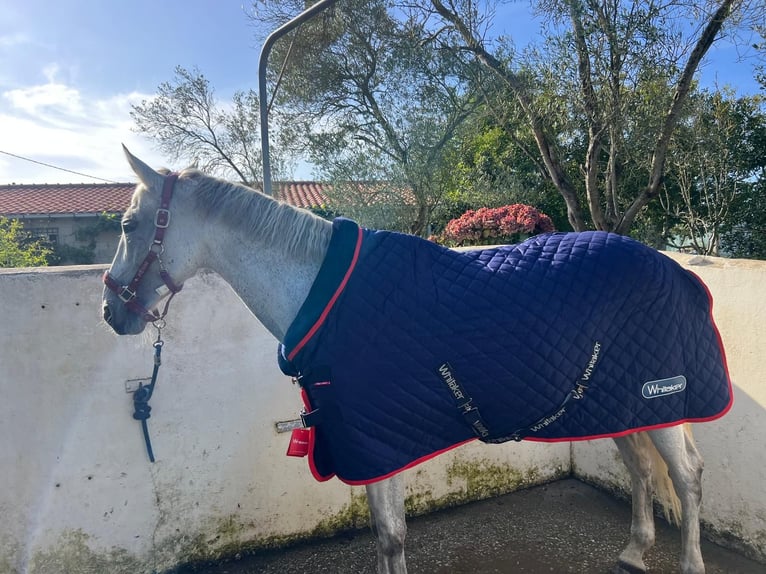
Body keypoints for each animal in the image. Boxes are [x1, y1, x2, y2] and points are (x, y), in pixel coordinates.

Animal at [102, 147, 731, 574]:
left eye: (130, 225)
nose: (111, 312)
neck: (325, 294)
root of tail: (676, 269)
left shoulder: (380, 441)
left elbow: (391, 535)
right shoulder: (366, 443)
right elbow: (385, 535)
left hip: (661, 397)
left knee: (687, 476)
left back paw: (689, 563)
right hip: (616, 403)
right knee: (642, 468)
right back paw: (633, 552)